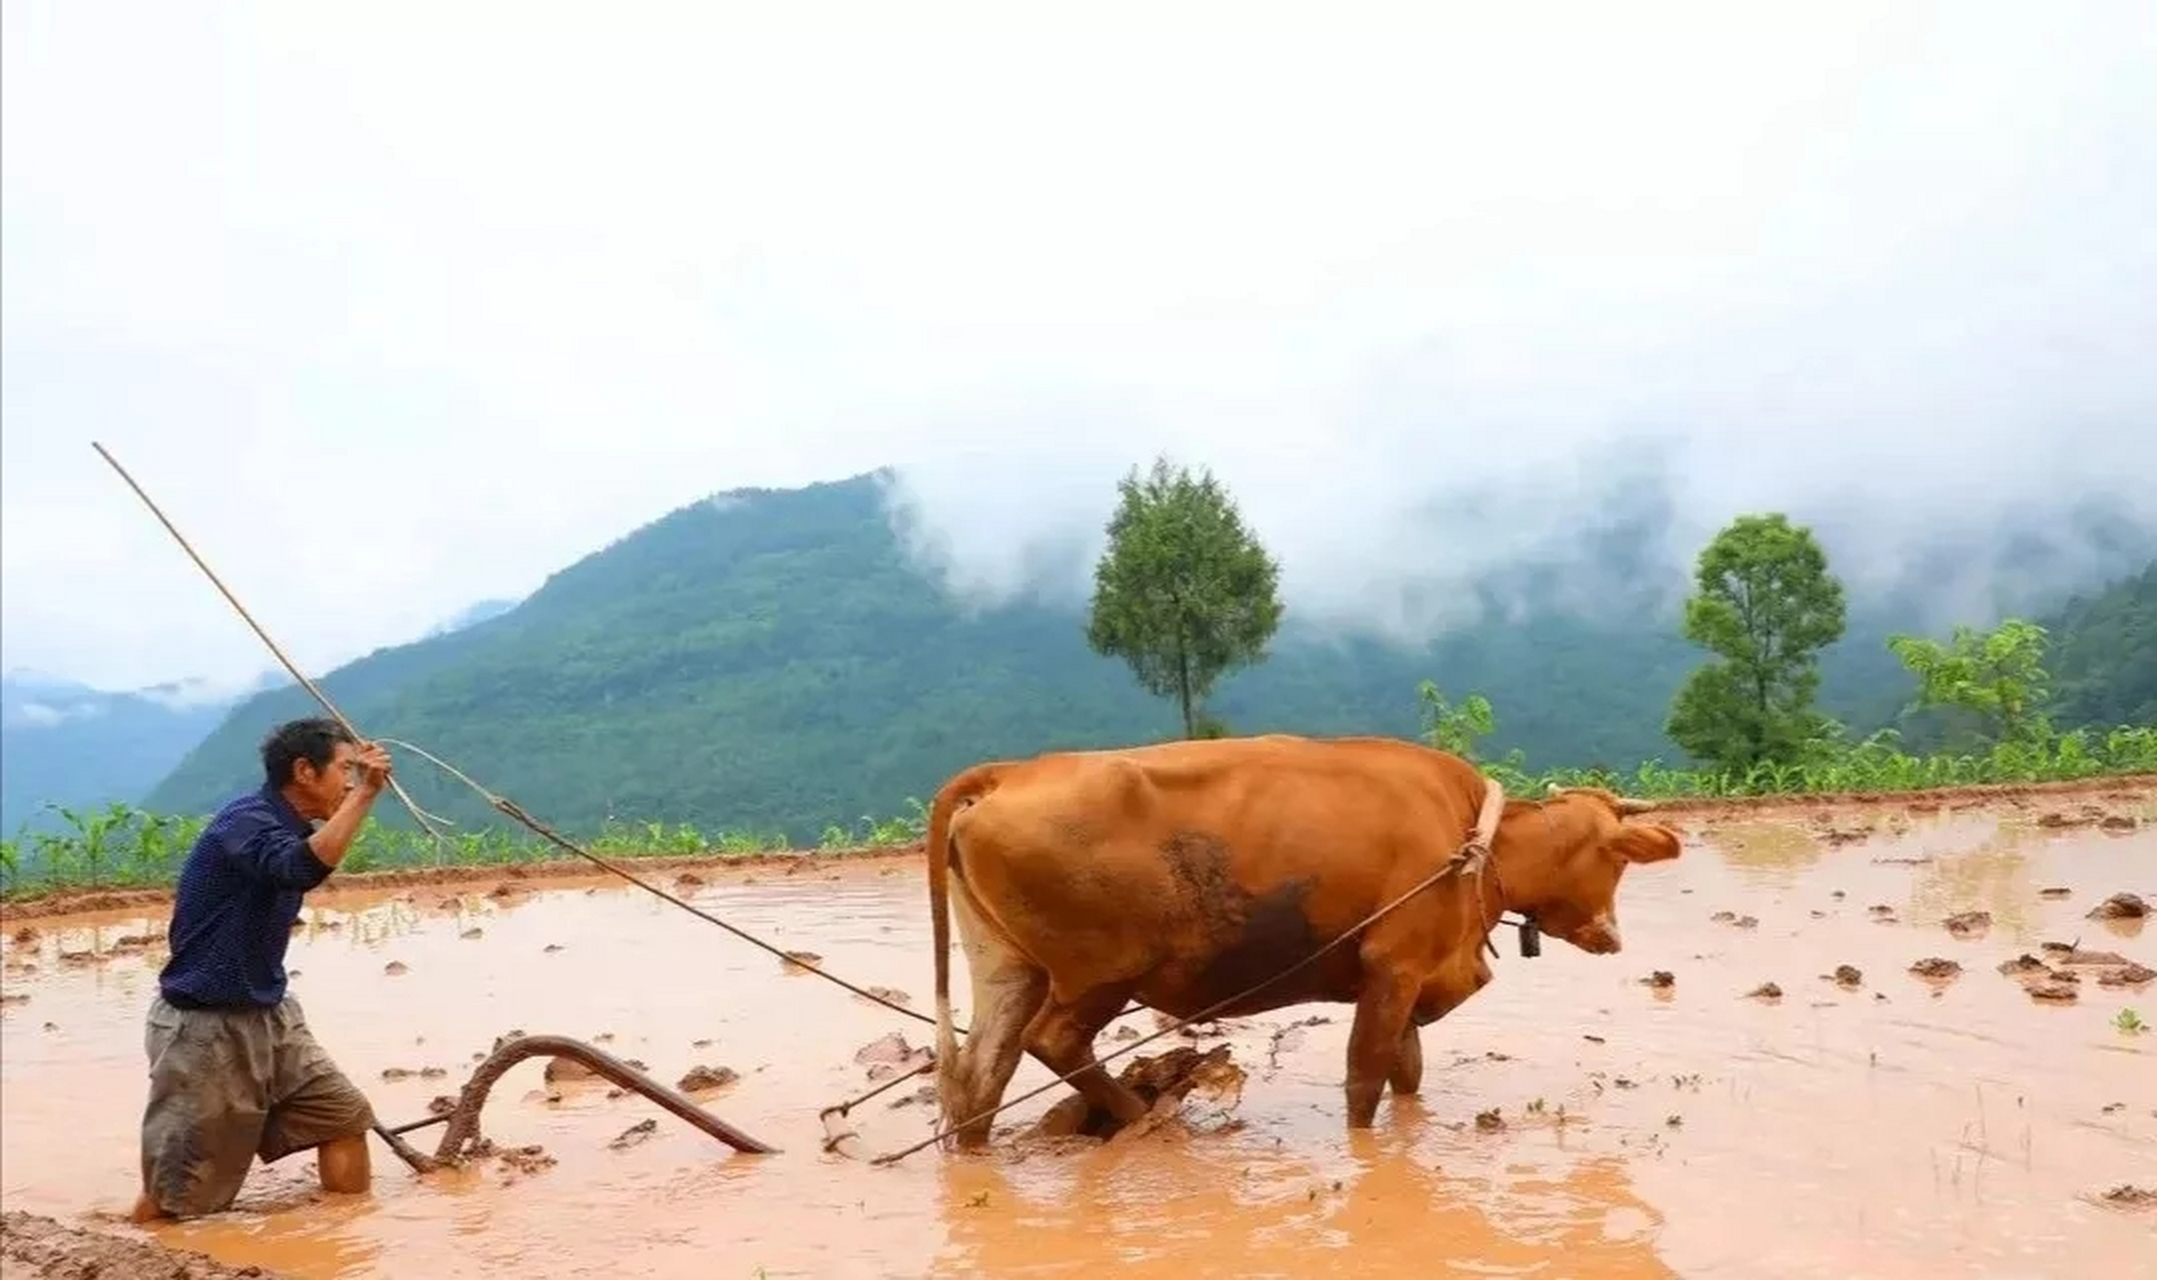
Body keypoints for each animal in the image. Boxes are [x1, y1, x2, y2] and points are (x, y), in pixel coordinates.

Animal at [918, 733, 1673, 1139]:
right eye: (1616, 859)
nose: (1612, 937)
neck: (1471, 842)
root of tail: (1014, 771)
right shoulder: (1394, 966)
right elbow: (1365, 1079)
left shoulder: (1406, 979)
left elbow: (1406, 1074)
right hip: (1100, 973)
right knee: (1050, 1042)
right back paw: (1148, 1121)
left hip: (1008, 969)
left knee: (981, 1074)